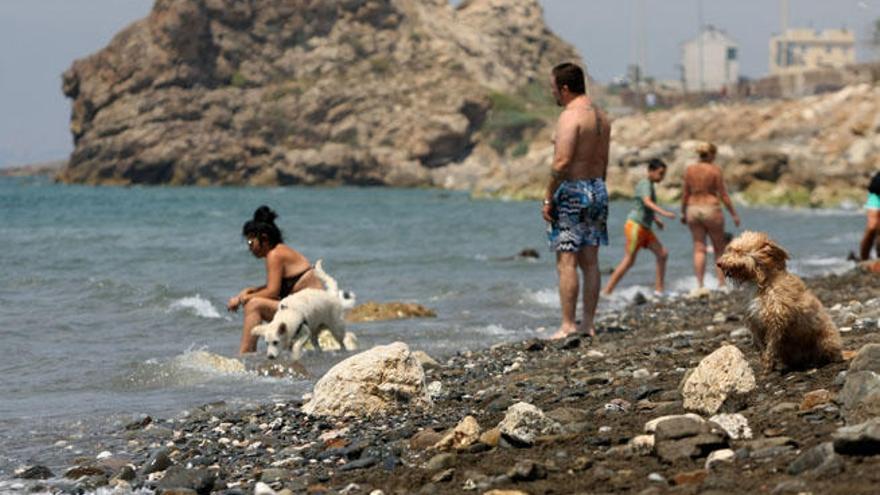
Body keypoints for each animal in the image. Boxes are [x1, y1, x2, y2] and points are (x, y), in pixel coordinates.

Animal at [716, 231, 844, 370]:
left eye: (738, 251)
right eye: (730, 249)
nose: (718, 263)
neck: (764, 282)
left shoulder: (776, 320)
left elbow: (771, 345)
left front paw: (767, 365)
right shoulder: (755, 321)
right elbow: (760, 343)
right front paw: (764, 361)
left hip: (825, 339)